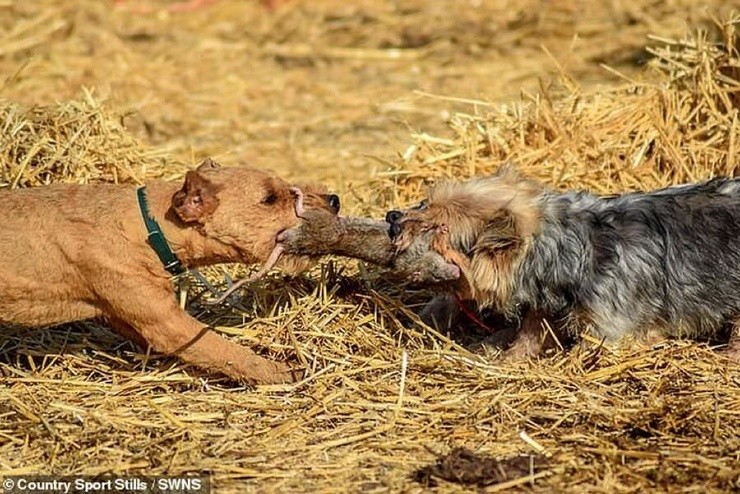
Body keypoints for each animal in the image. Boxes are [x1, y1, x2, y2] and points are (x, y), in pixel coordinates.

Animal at [0, 158, 339, 384]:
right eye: (269, 198)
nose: (334, 199)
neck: (148, 226)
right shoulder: (167, 323)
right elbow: (221, 348)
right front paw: (284, 371)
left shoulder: (127, 314)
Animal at [385, 166, 740, 361]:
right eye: (423, 203)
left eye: (435, 229)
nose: (392, 218)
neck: (569, 248)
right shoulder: (543, 309)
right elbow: (529, 336)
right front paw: (506, 358)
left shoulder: (612, 331)